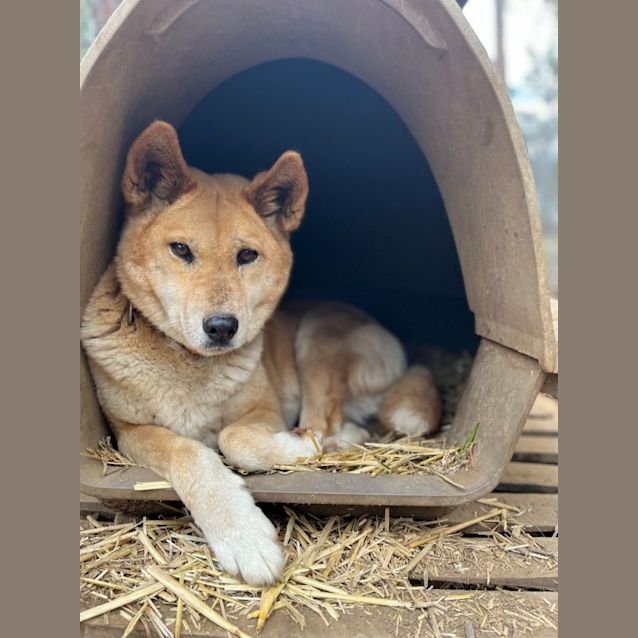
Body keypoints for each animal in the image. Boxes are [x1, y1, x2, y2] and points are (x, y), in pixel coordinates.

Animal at [82, 122, 442, 588]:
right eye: (180, 249)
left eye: (247, 255)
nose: (222, 327)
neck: (188, 365)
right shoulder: (130, 432)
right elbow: (187, 453)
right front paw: (239, 532)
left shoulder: (264, 409)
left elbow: (234, 439)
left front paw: (288, 458)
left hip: (316, 337)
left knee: (324, 422)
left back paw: (331, 438)